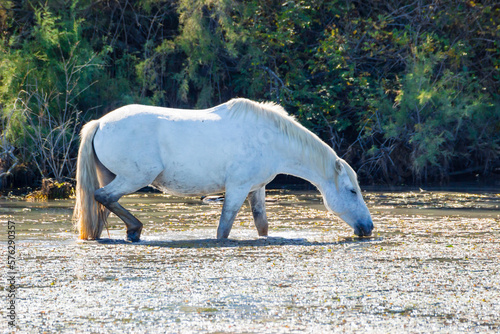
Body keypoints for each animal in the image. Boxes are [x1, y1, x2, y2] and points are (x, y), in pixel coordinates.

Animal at [73, 98, 372, 241]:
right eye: (352, 191)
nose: (368, 227)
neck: (270, 138)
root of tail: (100, 123)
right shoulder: (237, 189)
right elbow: (223, 229)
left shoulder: (256, 189)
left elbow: (262, 226)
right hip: (134, 177)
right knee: (103, 197)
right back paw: (135, 228)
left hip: (116, 176)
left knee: (102, 204)